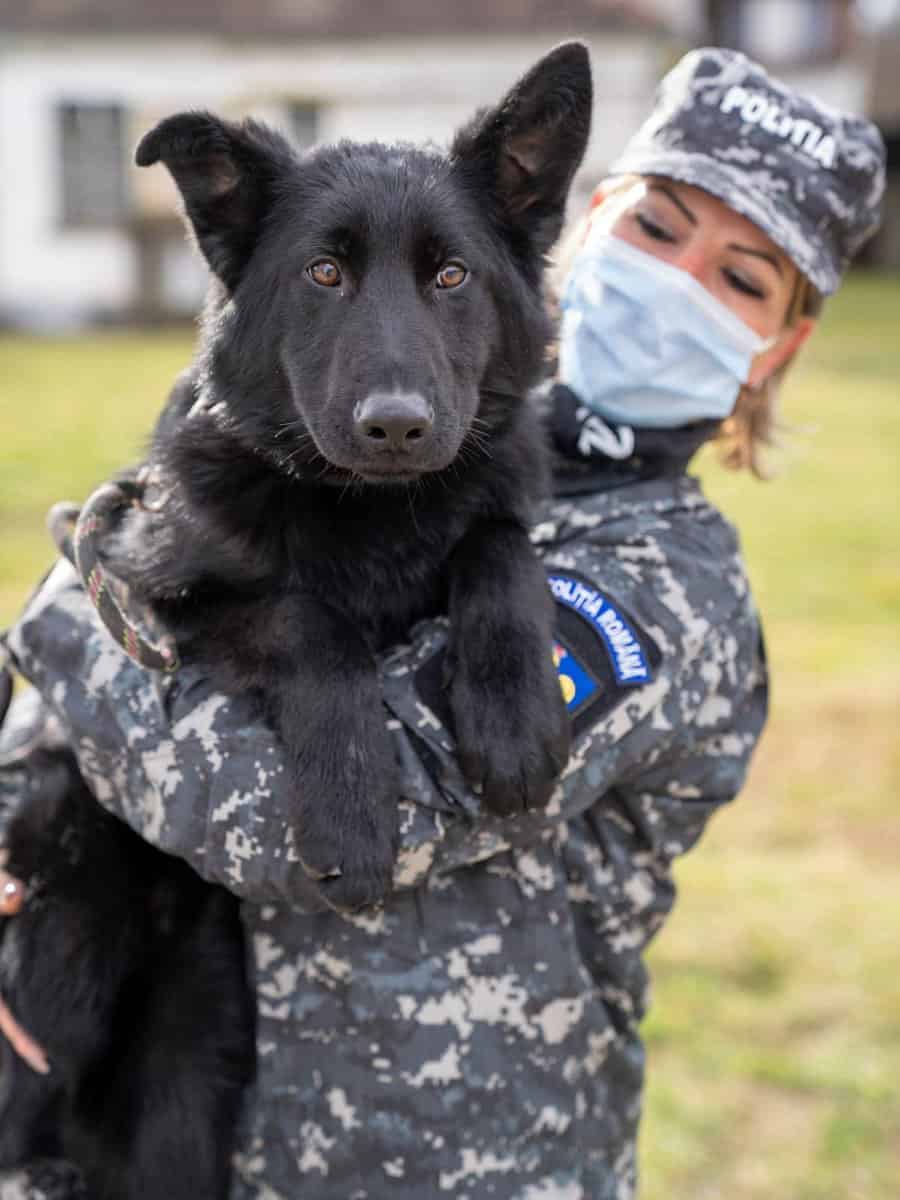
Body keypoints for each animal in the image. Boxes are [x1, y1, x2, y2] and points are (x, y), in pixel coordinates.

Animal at [102, 44, 588, 907]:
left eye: (452, 276)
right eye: (324, 272)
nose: (395, 426)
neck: (375, 509)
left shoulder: (499, 507)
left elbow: (500, 544)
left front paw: (516, 716)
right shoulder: (161, 597)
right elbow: (311, 621)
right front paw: (349, 809)